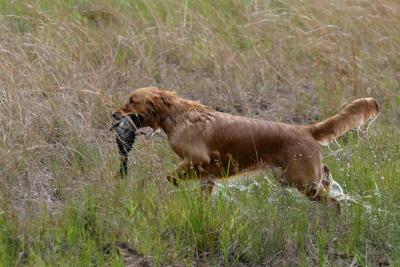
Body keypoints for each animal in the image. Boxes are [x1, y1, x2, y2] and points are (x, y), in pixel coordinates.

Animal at [111, 87, 378, 209]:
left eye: (131, 101)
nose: (113, 114)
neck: (177, 116)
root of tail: (306, 129)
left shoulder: (198, 159)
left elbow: (171, 176)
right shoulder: (208, 175)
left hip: (302, 182)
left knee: (334, 202)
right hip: (293, 178)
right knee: (326, 174)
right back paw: (329, 181)